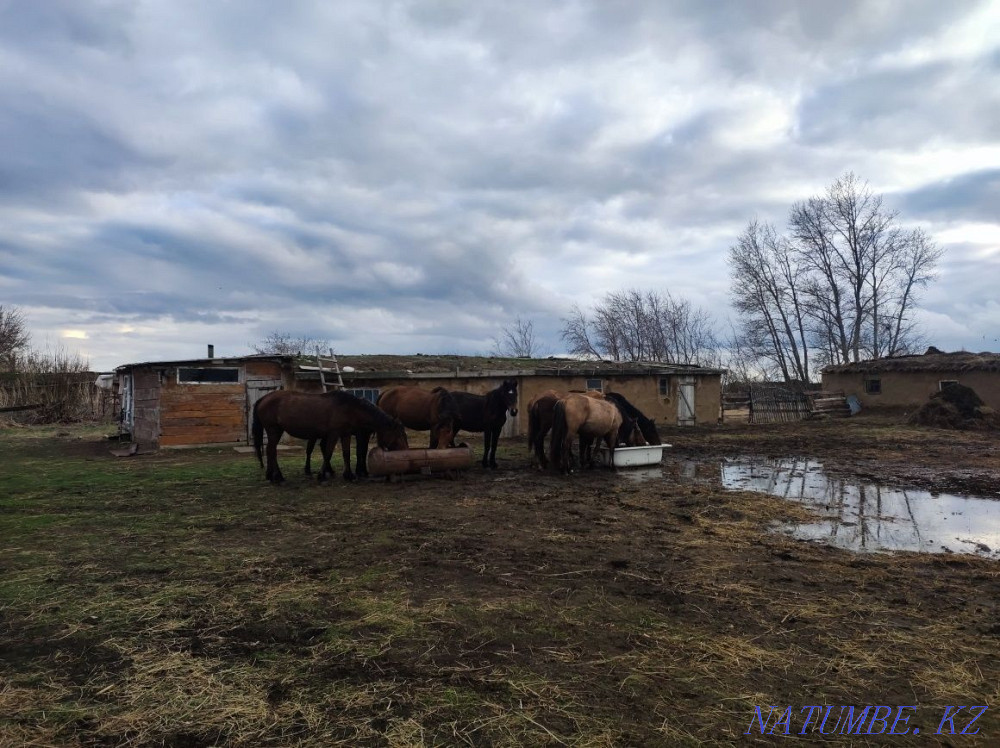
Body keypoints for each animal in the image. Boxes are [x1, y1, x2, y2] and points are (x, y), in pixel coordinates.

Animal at [252, 390, 408, 484]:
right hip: (274, 431)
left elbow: (346, 453)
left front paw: (349, 475)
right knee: (271, 451)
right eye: (398, 436)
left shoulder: (345, 434)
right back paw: (278, 477)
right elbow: (328, 453)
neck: (350, 409)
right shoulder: (334, 434)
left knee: (270, 451)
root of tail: (264, 398)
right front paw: (321, 475)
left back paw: (271, 475)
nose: (406, 451)